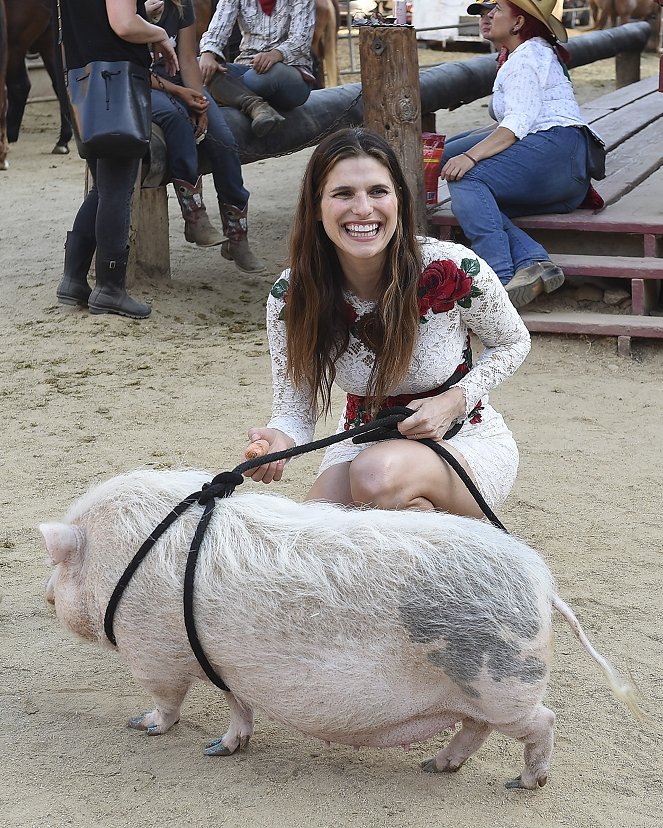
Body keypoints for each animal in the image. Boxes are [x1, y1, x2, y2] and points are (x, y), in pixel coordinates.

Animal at [40, 468, 640, 784]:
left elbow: (167, 702)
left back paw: (524, 783)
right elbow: (239, 707)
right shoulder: (226, 664)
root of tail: (543, 584)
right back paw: (434, 766)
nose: (44, 595)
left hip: (503, 681)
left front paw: (141, 726)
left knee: (544, 721)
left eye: (59, 566)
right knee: (475, 729)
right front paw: (222, 748)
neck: (113, 561)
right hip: (483, 691)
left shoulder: (153, 653)